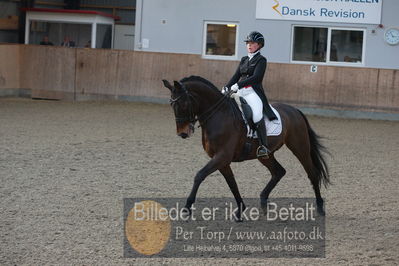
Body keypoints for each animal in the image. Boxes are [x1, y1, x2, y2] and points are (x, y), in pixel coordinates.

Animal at [162, 75, 332, 220]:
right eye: (171, 104)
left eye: (184, 104)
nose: (183, 133)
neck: (218, 115)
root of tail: (295, 110)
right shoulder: (222, 160)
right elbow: (232, 183)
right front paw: (240, 210)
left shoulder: (222, 156)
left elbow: (199, 175)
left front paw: (187, 208)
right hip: (265, 155)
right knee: (278, 171)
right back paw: (263, 204)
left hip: (300, 148)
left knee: (312, 173)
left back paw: (320, 208)